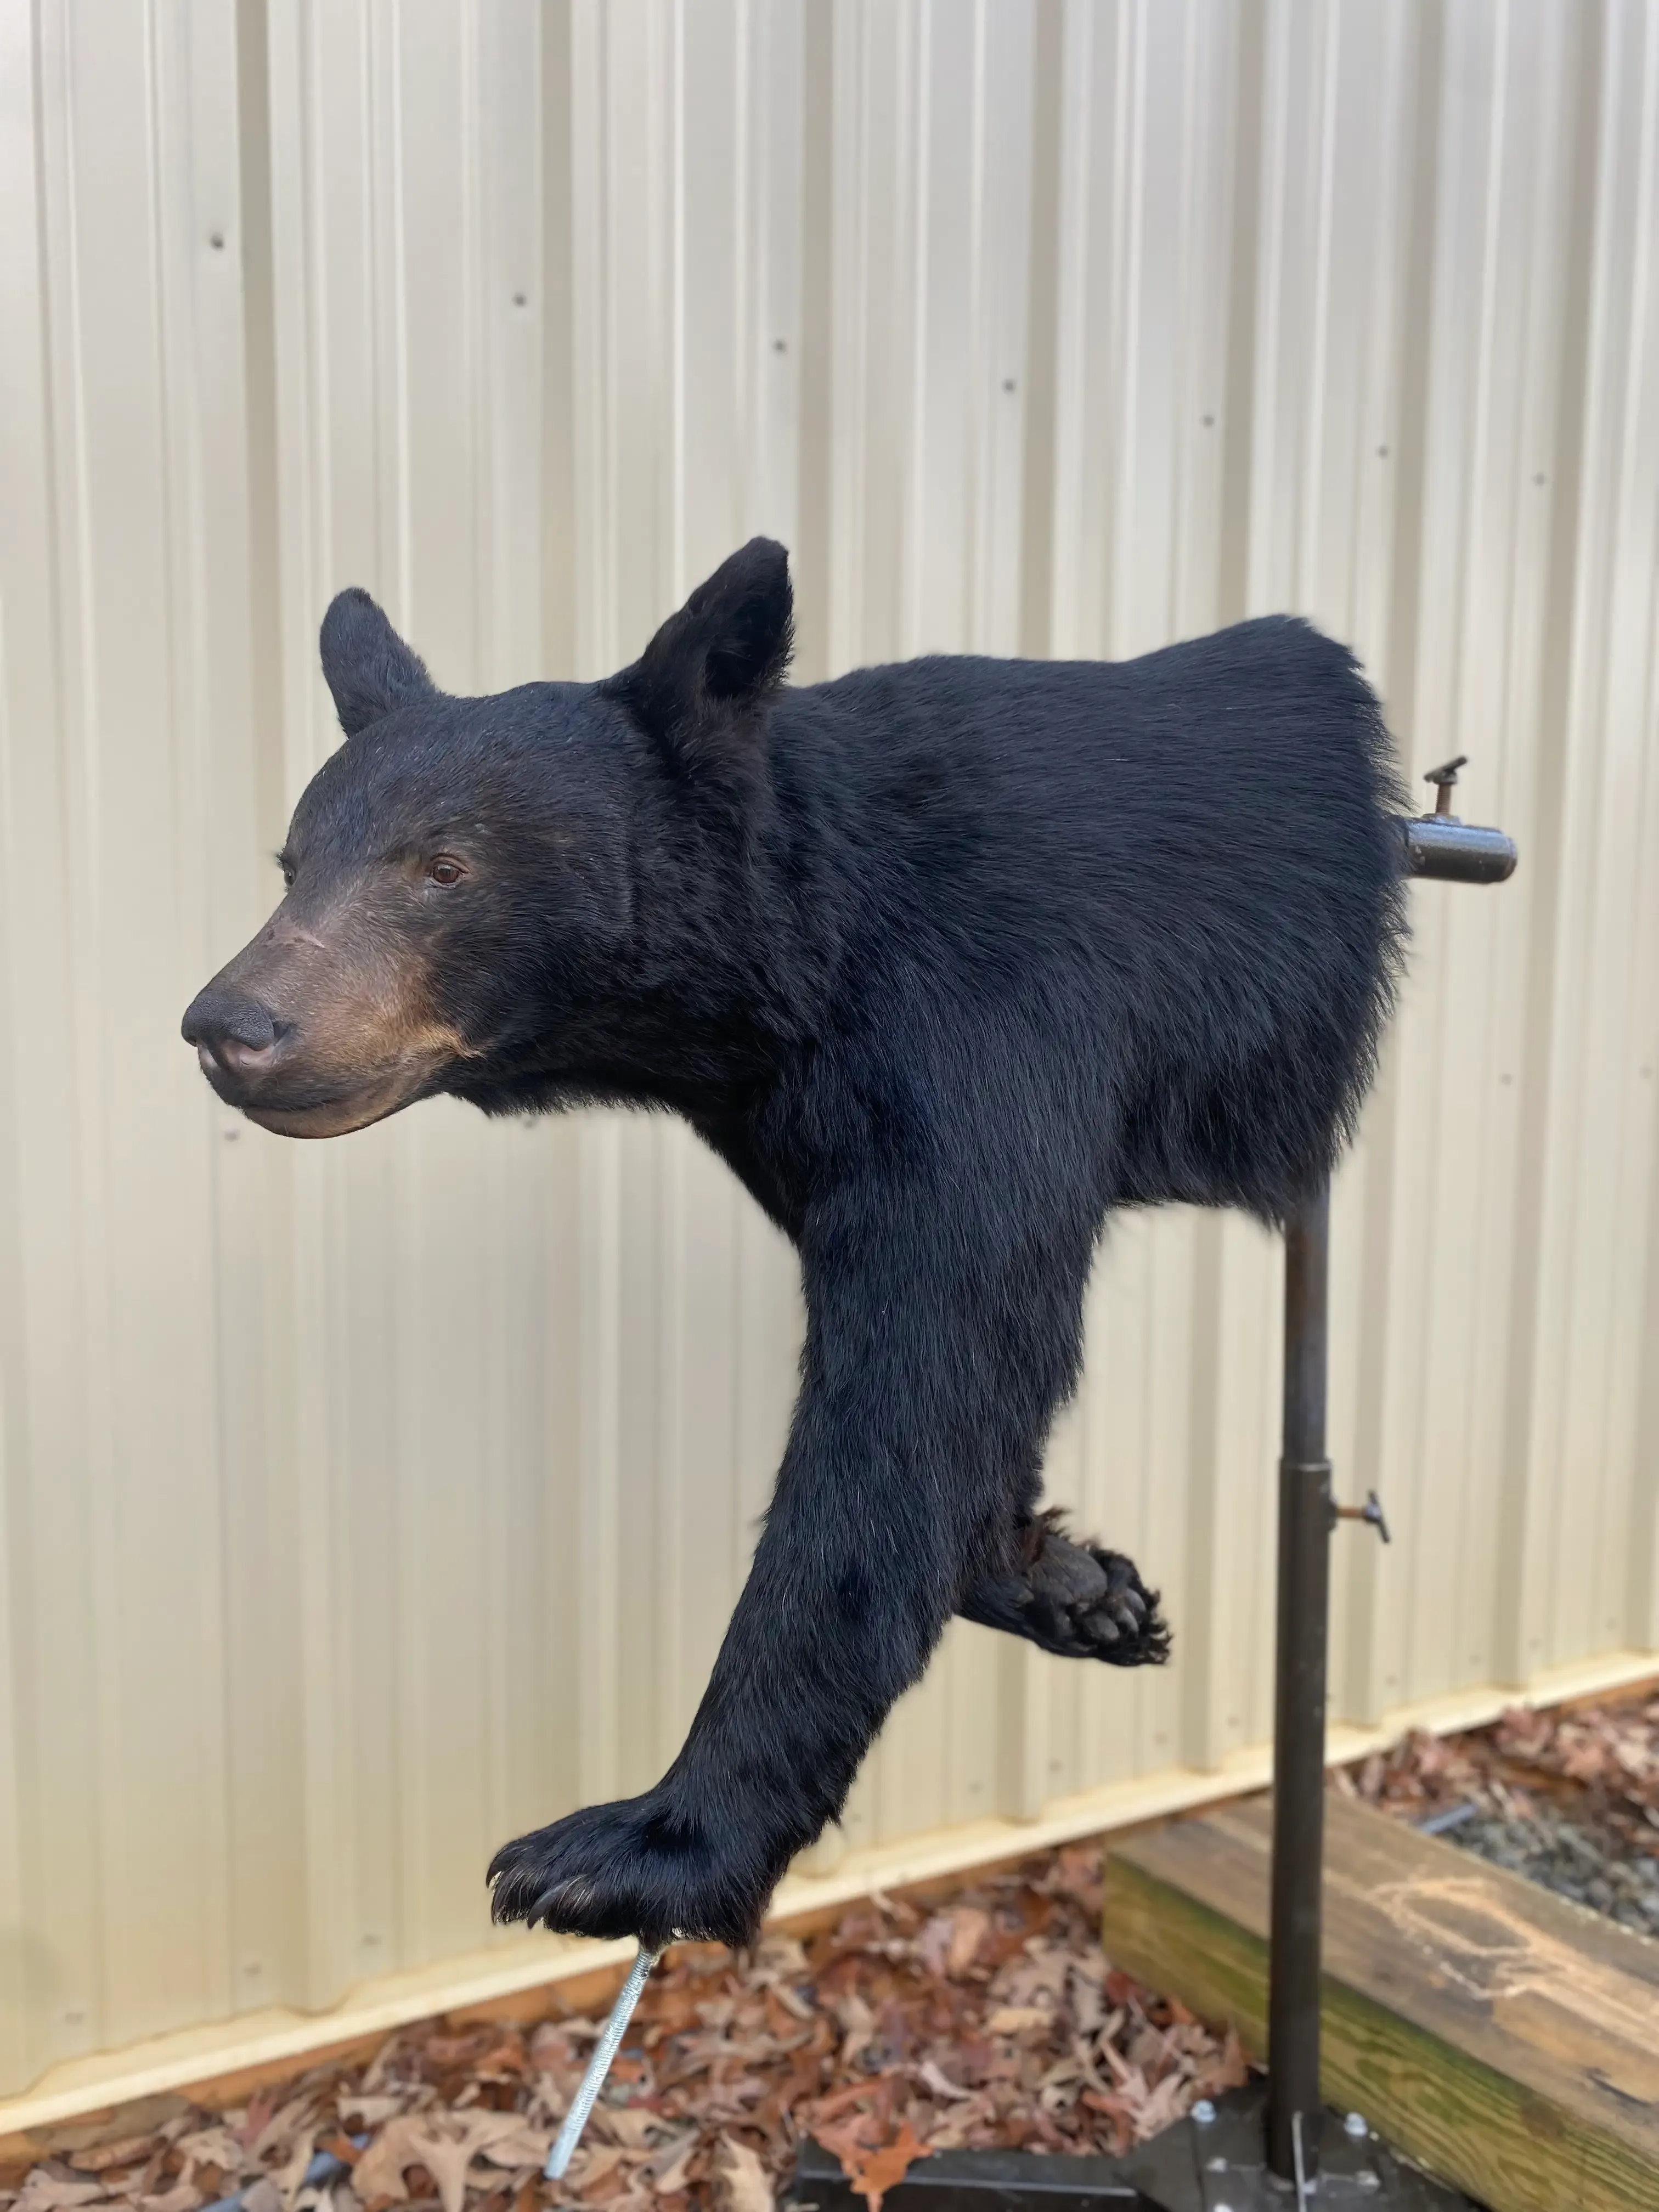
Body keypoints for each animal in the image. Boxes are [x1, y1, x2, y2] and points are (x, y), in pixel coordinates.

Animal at [182, 539, 1405, 1949]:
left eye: (444, 867)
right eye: (292, 863)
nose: (229, 1024)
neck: (792, 972)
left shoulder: (981, 1020)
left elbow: (918, 1381)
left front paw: (637, 1846)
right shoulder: (795, 1118)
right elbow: (972, 1379)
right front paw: (1065, 1578)